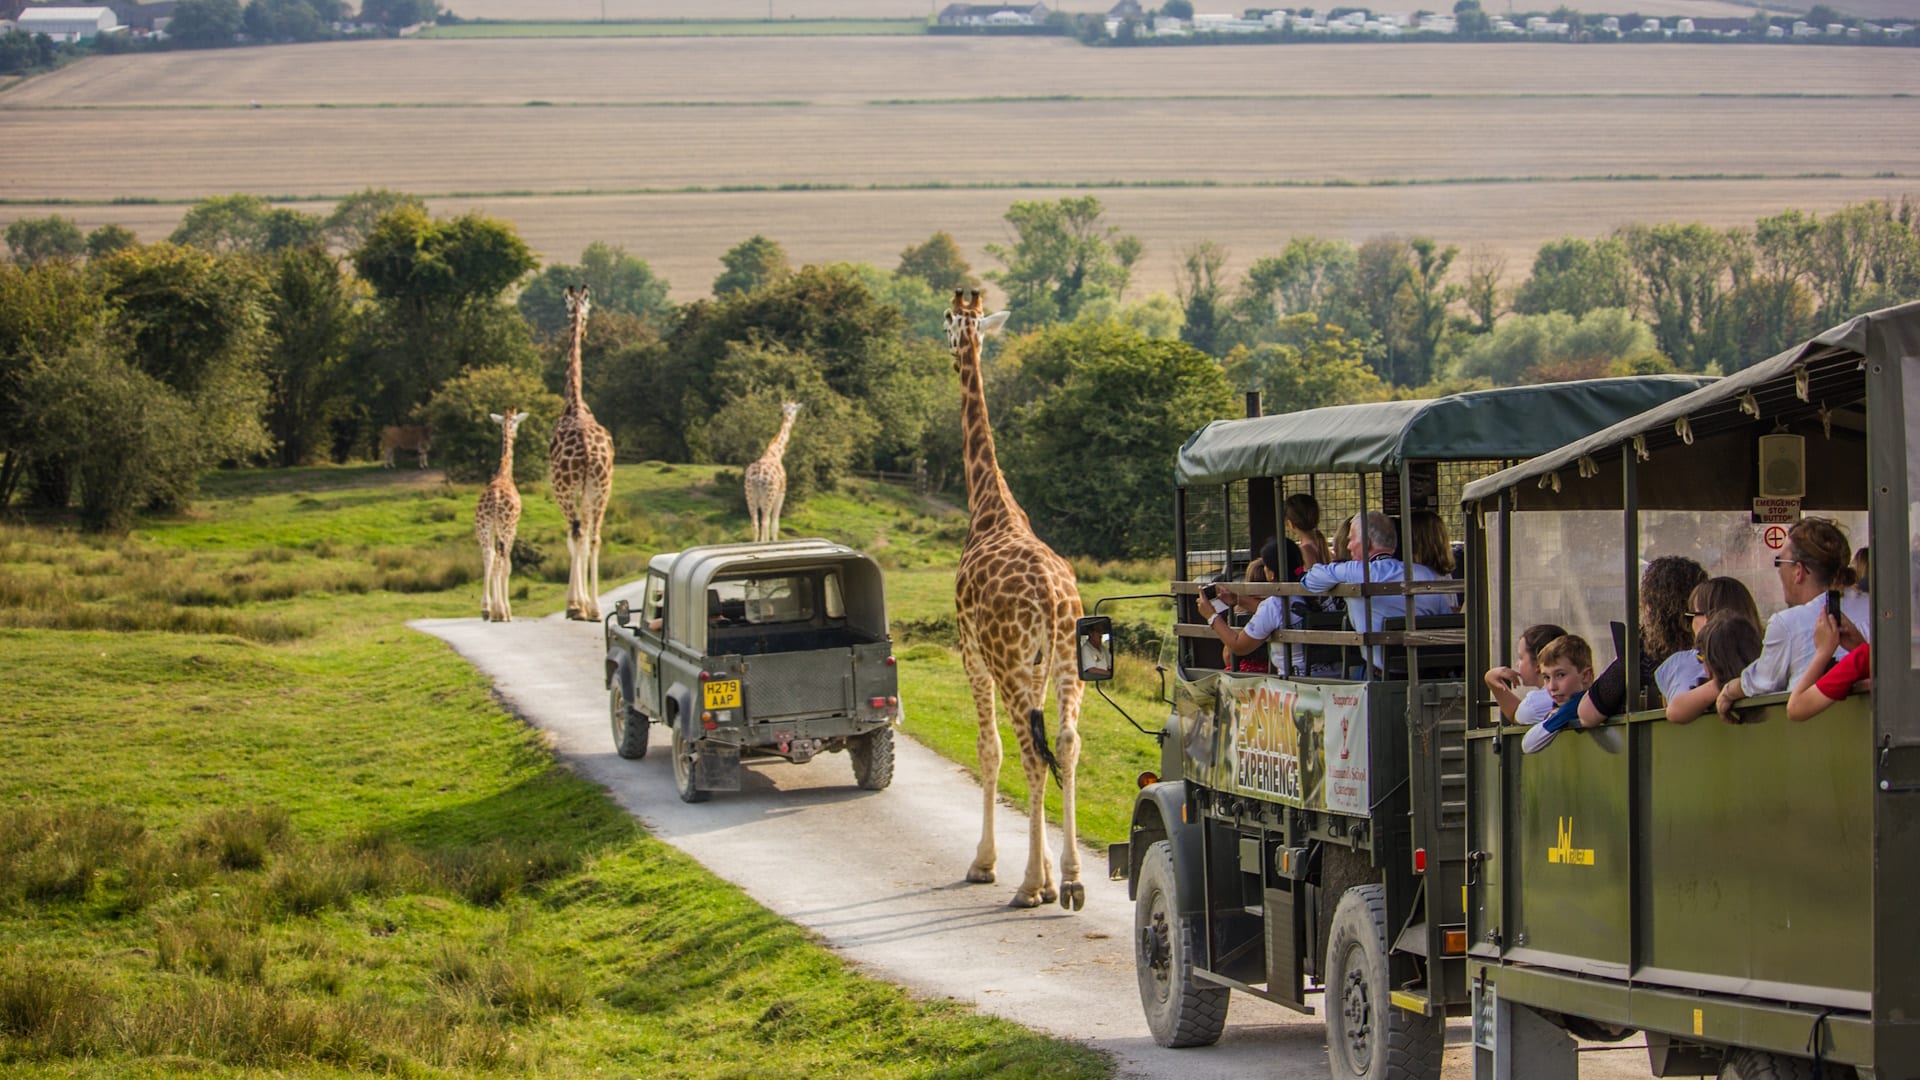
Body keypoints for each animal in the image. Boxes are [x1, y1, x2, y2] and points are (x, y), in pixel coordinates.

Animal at [741, 401, 802, 541]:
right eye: (795, 408)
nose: (793, 417)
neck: (775, 453)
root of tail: (757, 477)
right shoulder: (781, 493)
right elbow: (774, 524)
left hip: (750, 494)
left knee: (755, 522)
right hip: (769, 494)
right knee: (764, 521)